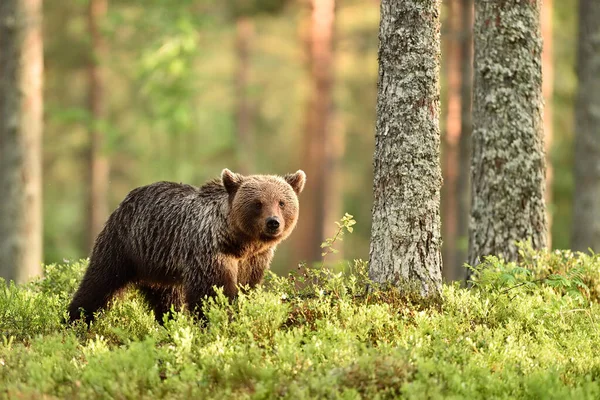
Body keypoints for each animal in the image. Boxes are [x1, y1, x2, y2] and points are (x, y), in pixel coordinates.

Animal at [68, 169, 308, 324]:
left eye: (281, 202)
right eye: (258, 203)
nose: (273, 223)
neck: (239, 242)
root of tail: (127, 198)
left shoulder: (254, 260)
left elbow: (245, 286)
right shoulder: (208, 252)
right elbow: (212, 292)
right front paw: (216, 318)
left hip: (160, 265)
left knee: (166, 298)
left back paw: (169, 321)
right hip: (124, 245)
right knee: (100, 281)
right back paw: (75, 318)